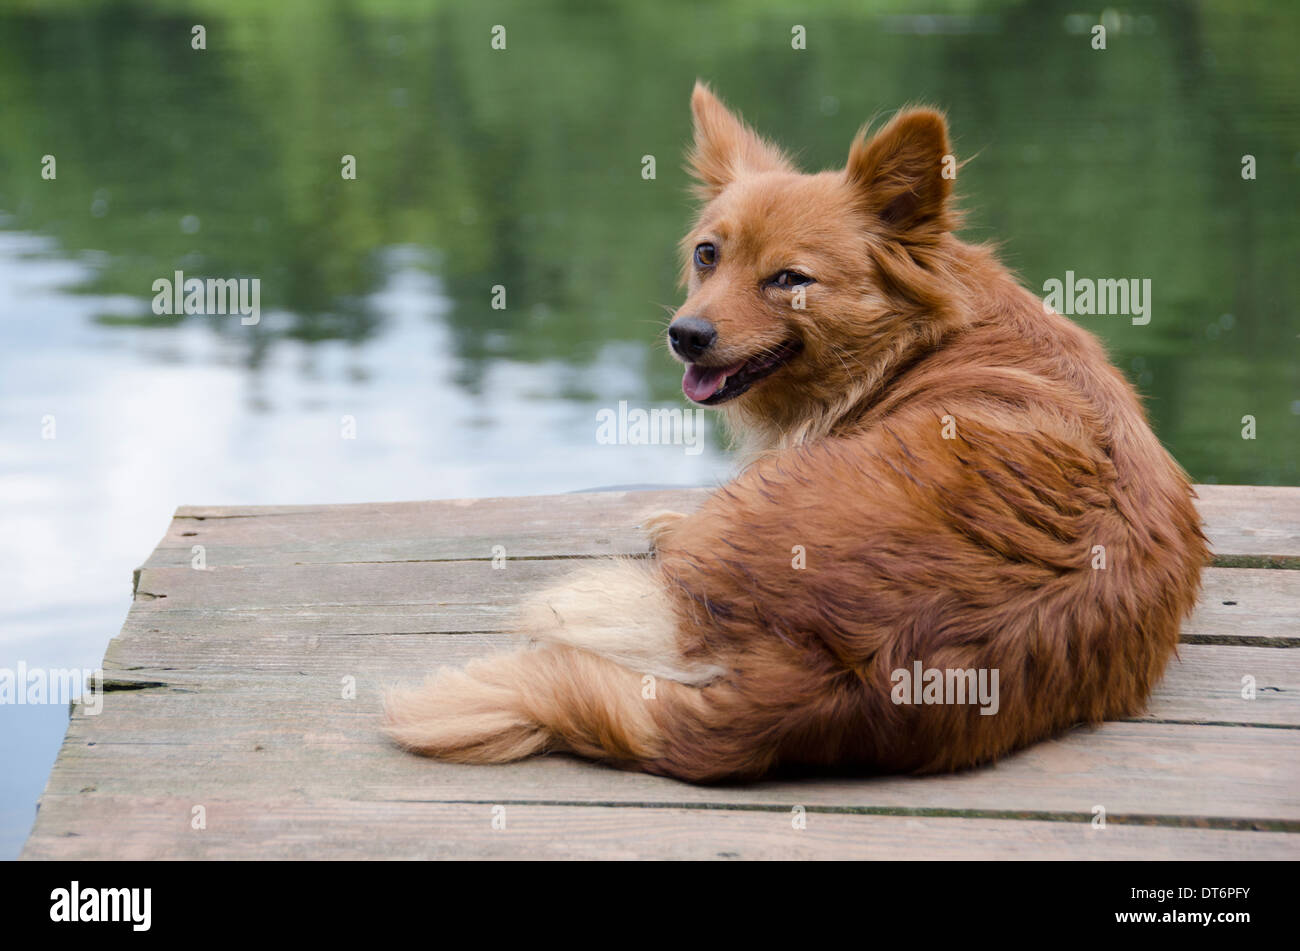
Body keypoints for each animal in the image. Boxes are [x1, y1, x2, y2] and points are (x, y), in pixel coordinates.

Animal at [384, 83, 1206, 779]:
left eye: (789, 279)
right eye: (707, 254)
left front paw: (666, 522)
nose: (686, 334)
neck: (920, 339)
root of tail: (829, 682)